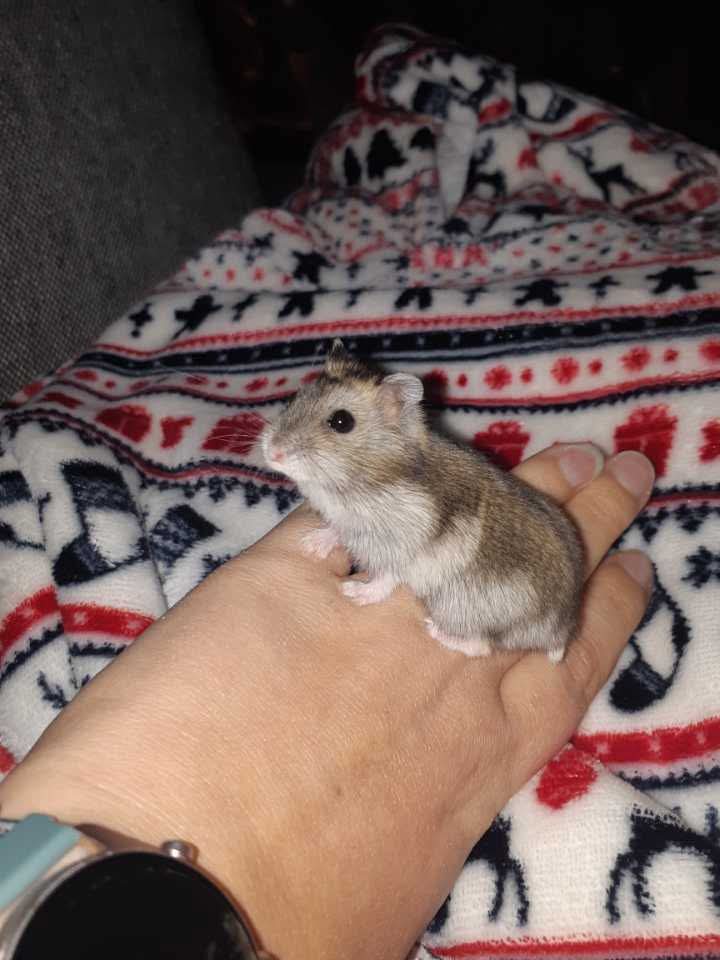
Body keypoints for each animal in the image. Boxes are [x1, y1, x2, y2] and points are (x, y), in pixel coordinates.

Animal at [262, 340, 584, 661]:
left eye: (341, 422)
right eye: (295, 397)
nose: (272, 452)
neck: (352, 482)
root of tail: (561, 632)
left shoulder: (400, 550)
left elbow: (385, 578)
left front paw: (354, 592)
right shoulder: (350, 526)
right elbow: (335, 530)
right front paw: (310, 544)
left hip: (458, 609)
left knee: (482, 646)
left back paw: (433, 629)